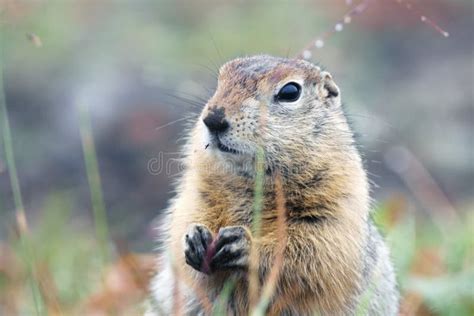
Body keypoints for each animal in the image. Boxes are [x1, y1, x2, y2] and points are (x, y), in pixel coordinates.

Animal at [146, 55, 398, 314]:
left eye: (290, 92)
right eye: (219, 82)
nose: (213, 119)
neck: (250, 181)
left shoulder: (337, 205)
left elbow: (315, 250)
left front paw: (245, 244)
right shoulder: (195, 191)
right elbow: (183, 220)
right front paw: (195, 237)